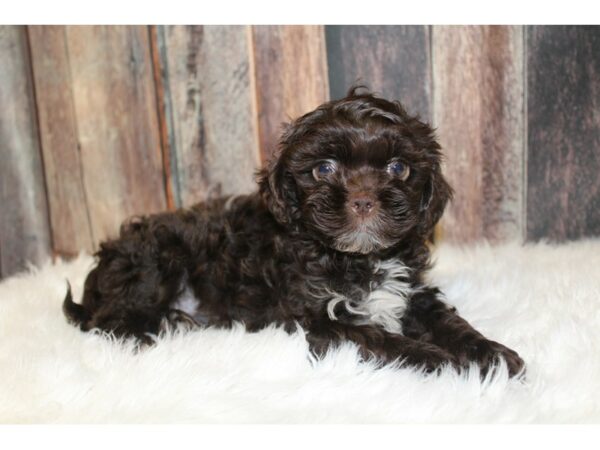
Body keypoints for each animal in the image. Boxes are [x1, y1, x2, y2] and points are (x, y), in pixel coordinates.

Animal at [63, 87, 524, 376]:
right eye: (323, 169)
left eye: (398, 168)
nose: (363, 200)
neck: (359, 258)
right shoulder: (321, 319)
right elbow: (383, 340)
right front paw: (447, 363)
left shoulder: (412, 291)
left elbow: (448, 321)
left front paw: (493, 357)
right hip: (156, 261)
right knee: (110, 321)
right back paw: (159, 331)